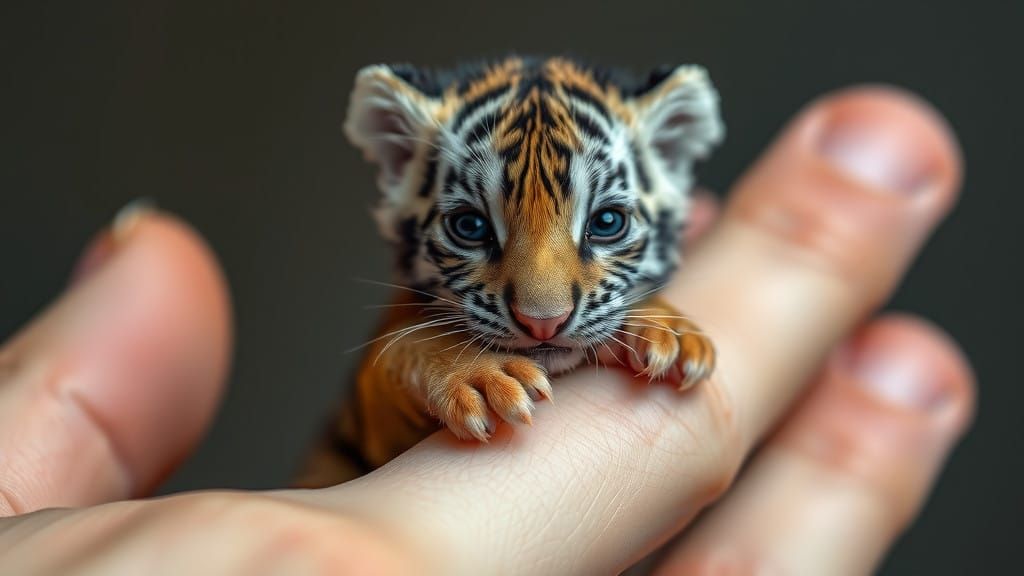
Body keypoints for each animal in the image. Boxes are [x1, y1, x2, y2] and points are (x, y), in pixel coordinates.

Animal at [296, 56, 724, 486]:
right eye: (471, 226)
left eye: (606, 222)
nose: (544, 322)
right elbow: (398, 345)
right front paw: (476, 374)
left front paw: (666, 329)